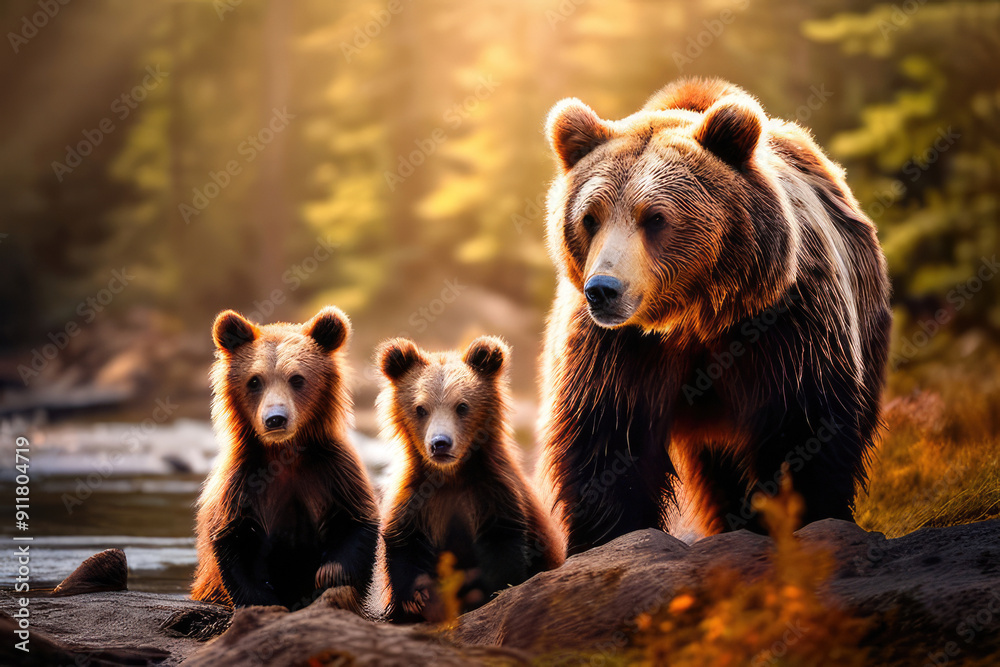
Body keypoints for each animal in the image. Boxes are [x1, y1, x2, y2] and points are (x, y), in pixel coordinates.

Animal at [191, 306, 380, 610]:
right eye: (255, 380)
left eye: (297, 379)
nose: (275, 418)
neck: (284, 452)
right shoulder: (242, 480)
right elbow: (233, 540)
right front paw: (262, 598)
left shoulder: (332, 470)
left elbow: (355, 524)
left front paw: (328, 575)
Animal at [376, 336, 565, 623]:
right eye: (421, 408)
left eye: (462, 406)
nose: (440, 444)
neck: (451, 477)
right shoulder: (415, 499)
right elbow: (404, 545)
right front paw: (417, 599)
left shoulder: (492, 494)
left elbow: (504, 549)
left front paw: (491, 594)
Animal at [535, 77, 891, 554]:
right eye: (590, 218)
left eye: (655, 217)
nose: (603, 290)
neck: (692, 317)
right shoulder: (615, 349)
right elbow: (607, 442)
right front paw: (607, 538)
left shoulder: (785, 320)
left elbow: (803, 424)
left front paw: (806, 518)